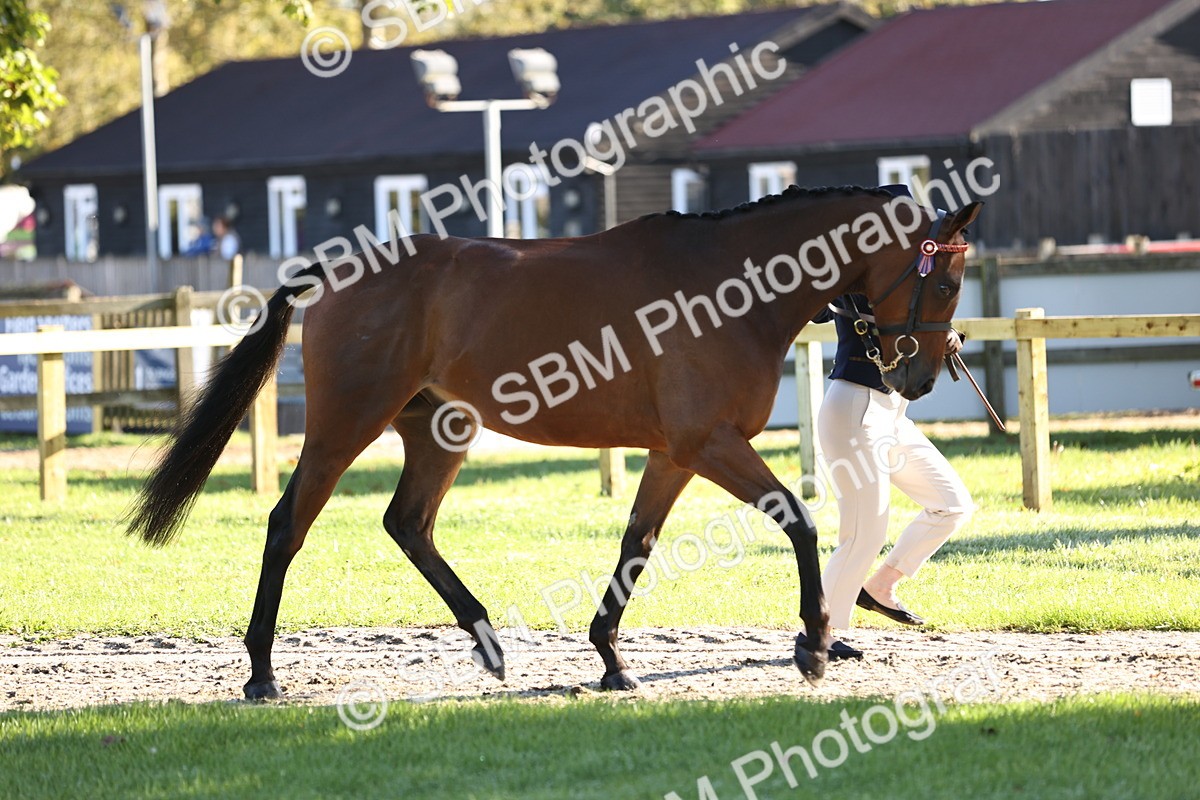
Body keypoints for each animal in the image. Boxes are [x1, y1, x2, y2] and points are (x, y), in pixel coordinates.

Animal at [127, 185, 980, 699]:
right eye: (943, 282)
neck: (730, 287)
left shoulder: (675, 453)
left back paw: (489, 644)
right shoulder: (709, 443)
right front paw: (813, 645)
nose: (921, 378)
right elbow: (797, 520)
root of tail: (336, 270)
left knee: (408, 523)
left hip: (440, 429)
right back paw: (261, 674)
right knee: (288, 526)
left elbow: (637, 543)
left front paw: (610, 659)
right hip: (345, 424)